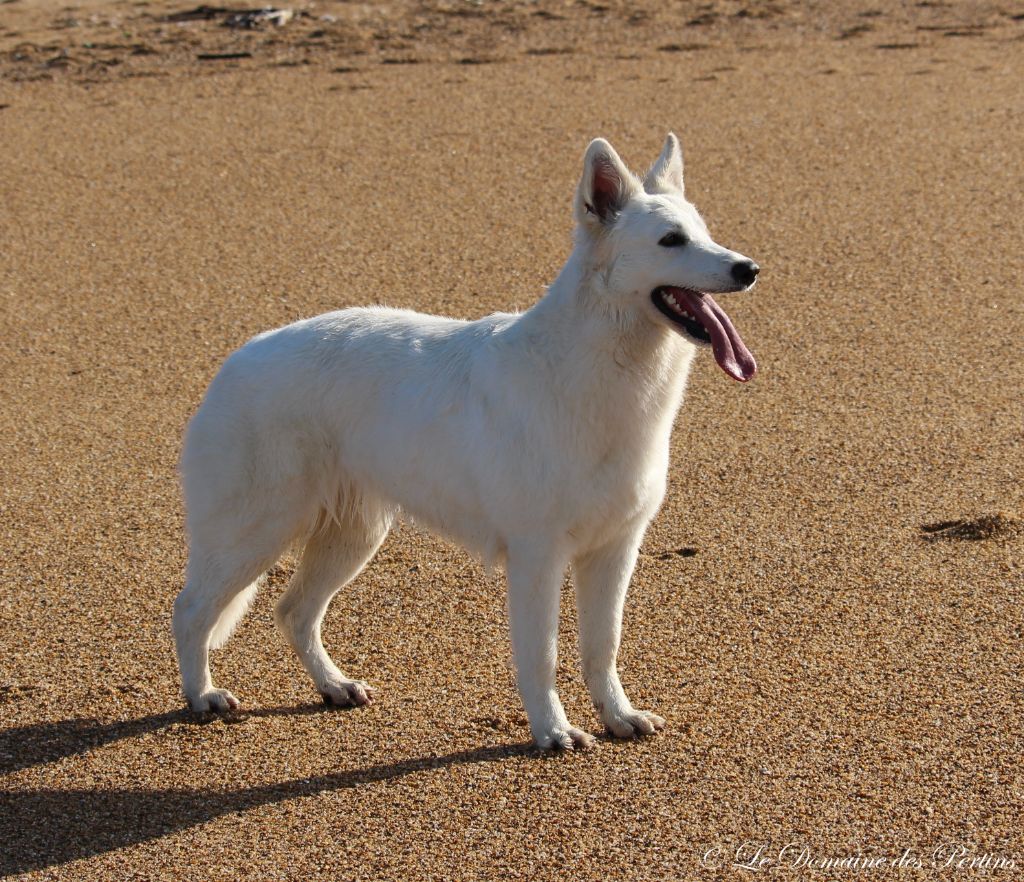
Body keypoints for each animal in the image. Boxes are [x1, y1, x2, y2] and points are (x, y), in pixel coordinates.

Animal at [172, 134, 757, 745]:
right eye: (671, 240)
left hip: (351, 538)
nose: (750, 269)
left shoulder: (615, 551)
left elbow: (603, 649)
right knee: (190, 610)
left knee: (294, 612)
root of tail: (233, 362)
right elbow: (542, 656)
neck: (597, 367)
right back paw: (201, 695)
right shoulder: (538, 556)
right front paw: (553, 731)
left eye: (705, 232)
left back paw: (333, 685)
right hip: (254, 534)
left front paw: (617, 716)